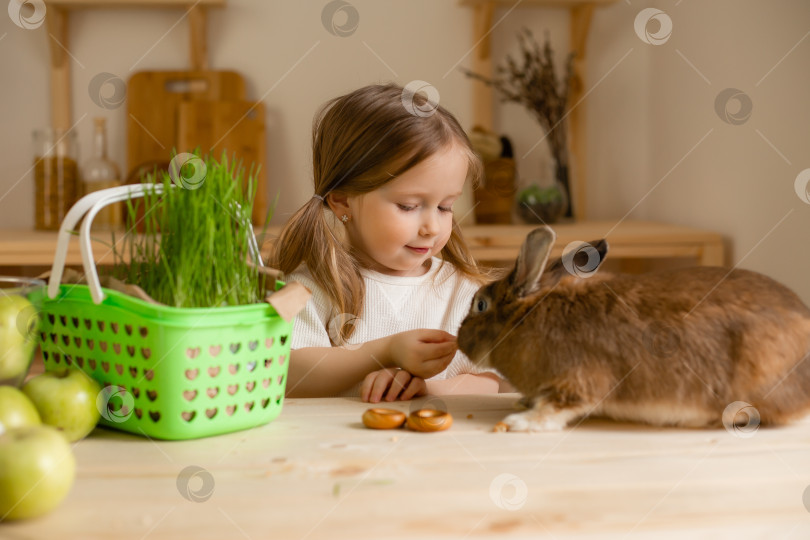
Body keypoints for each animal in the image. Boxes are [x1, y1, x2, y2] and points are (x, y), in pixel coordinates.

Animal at [454, 226, 808, 432]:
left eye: (480, 305)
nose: (459, 340)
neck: (525, 317)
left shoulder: (576, 383)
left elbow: (555, 409)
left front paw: (519, 421)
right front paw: (521, 404)